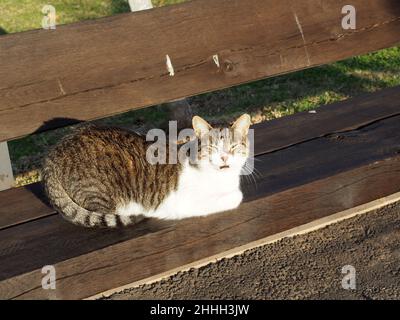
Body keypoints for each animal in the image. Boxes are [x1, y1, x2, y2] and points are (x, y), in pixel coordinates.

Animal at [43, 114, 250, 226]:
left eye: (233, 147)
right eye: (212, 148)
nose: (224, 157)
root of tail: (53, 154)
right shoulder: (187, 203)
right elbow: (236, 196)